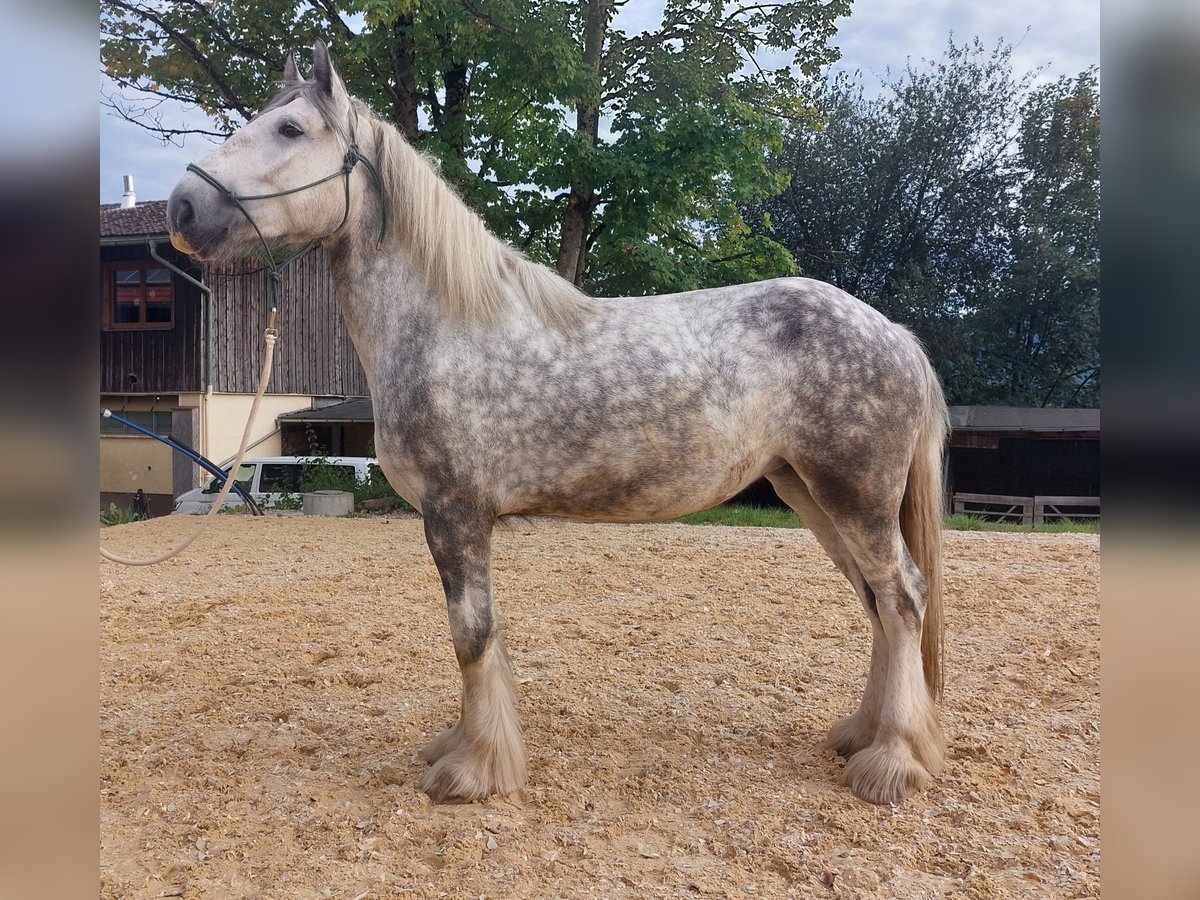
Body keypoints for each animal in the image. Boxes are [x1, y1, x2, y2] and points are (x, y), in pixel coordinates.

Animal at [169, 42, 950, 806]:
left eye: (290, 130)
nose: (182, 207)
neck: (448, 328)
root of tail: (892, 332)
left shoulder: (454, 512)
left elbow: (471, 636)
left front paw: (474, 771)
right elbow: (478, 638)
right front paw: (461, 747)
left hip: (855, 497)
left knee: (902, 598)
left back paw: (892, 763)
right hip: (809, 494)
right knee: (877, 603)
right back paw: (861, 736)